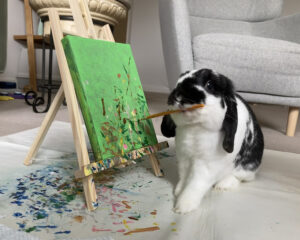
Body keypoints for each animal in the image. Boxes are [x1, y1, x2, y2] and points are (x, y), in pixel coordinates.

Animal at [162, 68, 262, 213]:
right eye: (178, 81)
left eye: (209, 85)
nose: (178, 94)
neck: (195, 127)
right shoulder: (184, 158)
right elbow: (184, 176)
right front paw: (178, 191)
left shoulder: (206, 166)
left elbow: (195, 184)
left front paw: (182, 207)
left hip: (246, 169)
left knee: (240, 177)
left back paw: (223, 185)